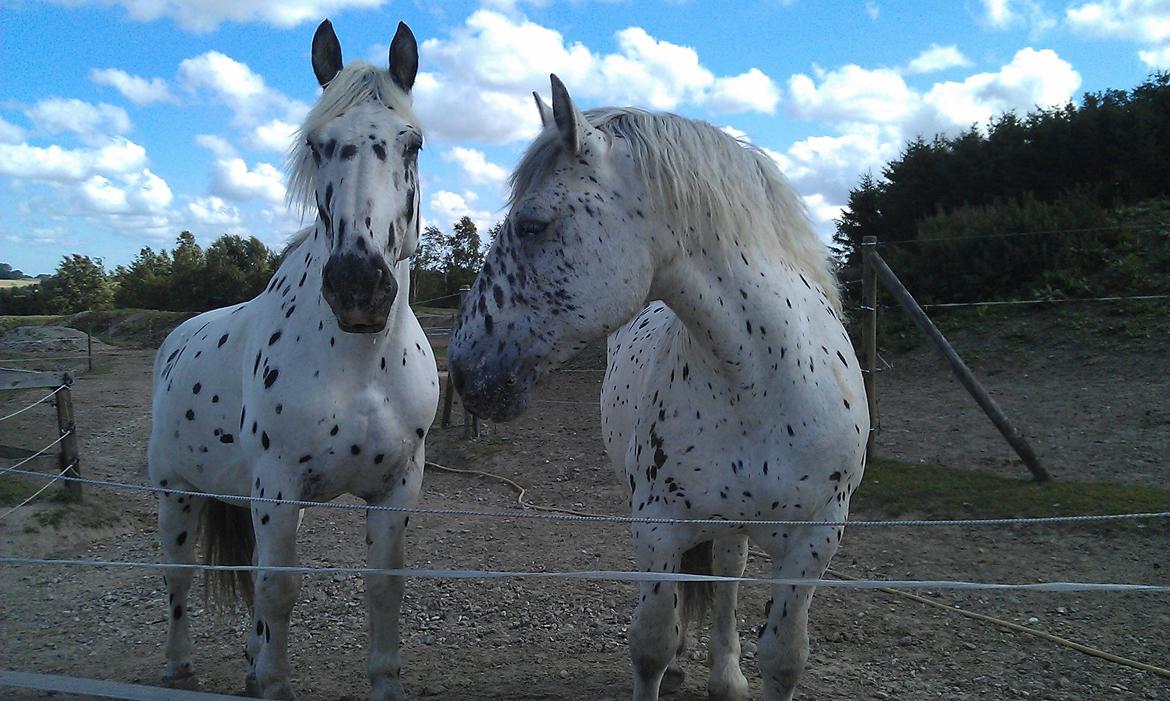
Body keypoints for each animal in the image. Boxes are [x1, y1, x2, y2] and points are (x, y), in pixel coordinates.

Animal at [147, 19, 439, 697]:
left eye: (412, 144)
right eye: (317, 143)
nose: (358, 286)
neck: (359, 366)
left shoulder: (396, 487)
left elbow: (384, 592)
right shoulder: (277, 488)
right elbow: (278, 592)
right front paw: (271, 680)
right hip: (176, 493)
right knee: (178, 579)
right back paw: (178, 666)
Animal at [446, 74, 870, 697]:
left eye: (531, 225)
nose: (462, 368)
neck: (763, 383)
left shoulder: (815, 541)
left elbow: (785, 657)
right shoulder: (657, 527)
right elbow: (650, 644)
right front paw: (668, 666)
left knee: (726, 579)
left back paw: (726, 675)